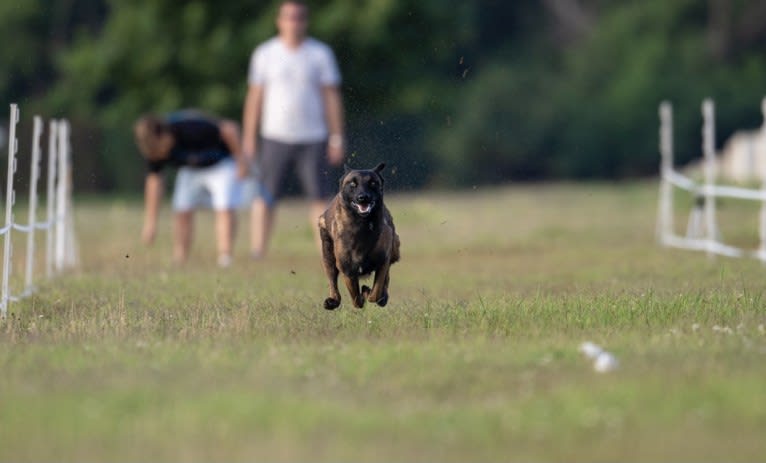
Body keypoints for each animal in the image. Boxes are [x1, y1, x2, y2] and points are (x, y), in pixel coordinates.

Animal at [318, 163, 402, 312]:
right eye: (352, 184)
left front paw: (370, 293)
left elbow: (375, 292)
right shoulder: (347, 270)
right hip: (328, 256)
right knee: (333, 282)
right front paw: (363, 294)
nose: (363, 197)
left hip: (394, 249)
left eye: (373, 183)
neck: (362, 226)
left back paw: (382, 297)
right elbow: (357, 300)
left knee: (385, 281)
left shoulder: (383, 261)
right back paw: (332, 301)